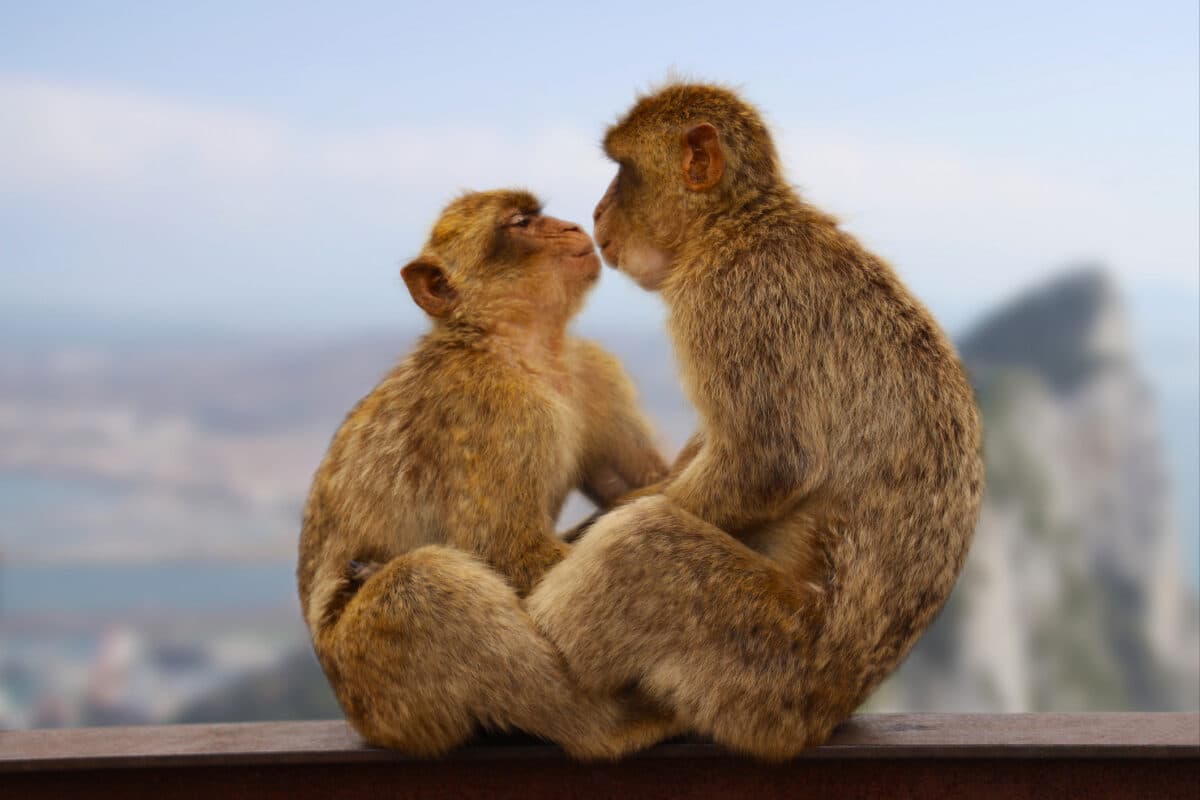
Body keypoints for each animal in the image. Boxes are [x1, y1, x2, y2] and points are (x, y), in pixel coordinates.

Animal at [296, 189, 673, 758]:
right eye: (521, 222)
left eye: (538, 214)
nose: (570, 225)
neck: (520, 350)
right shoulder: (493, 412)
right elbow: (509, 553)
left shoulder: (593, 371)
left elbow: (626, 483)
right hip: (377, 690)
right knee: (420, 584)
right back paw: (612, 727)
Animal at [526, 83, 984, 760]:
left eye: (623, 172)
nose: (599, 209)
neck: (735, 225)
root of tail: (828, 710)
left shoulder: (728, 299)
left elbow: (769, 463)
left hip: (764, 665)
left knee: (641, 546)